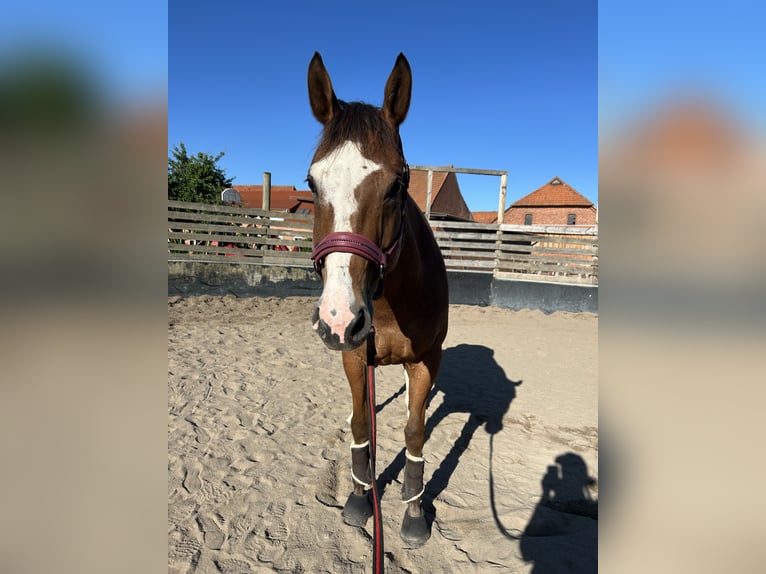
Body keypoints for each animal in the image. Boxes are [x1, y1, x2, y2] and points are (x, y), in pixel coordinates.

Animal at [306, 52, 449, 547]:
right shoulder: (353, 356)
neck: (388, 305)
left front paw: (413, 513)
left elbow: (415, 431)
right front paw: (358, 497)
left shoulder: (426, 359)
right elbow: (360, 423)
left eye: (396, 186)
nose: (337, 318)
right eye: (311, 184)